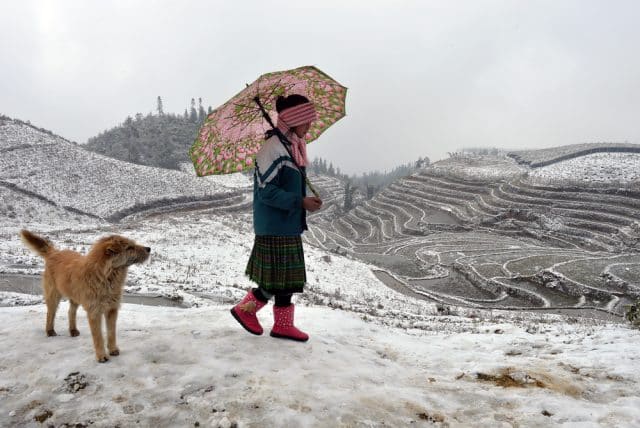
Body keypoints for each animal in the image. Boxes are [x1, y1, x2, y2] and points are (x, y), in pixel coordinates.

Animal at [19, 229, 150, 362]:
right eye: (129, 247)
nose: (149, 248)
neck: (105, 276)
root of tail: (54, 252)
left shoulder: (112, 309)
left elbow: (111, 332)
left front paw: (113, 349)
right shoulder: (94, 311)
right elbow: (98, 336)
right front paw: (101, 355)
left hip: (75, 297)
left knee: (71, 312)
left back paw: (73, 330)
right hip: (53, 295)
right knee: (50, 313)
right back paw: (50, 331)